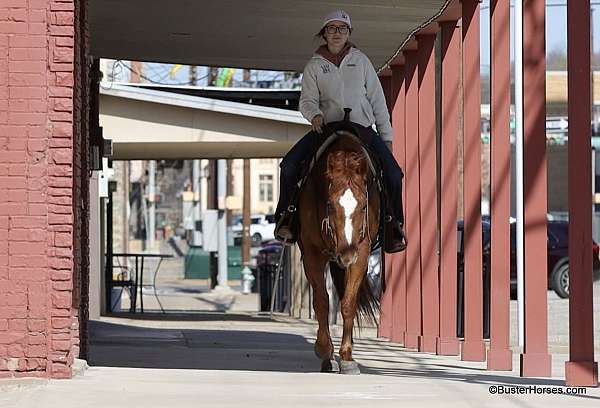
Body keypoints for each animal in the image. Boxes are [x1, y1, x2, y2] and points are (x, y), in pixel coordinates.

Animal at [296, 131, 378, 376]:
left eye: (363, 206)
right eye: (331, 205)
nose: (346, 255)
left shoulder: (362, 254)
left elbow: (348, 303)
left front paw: (347, 357)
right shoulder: (312, 254)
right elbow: (322, 301)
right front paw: (324, 350)